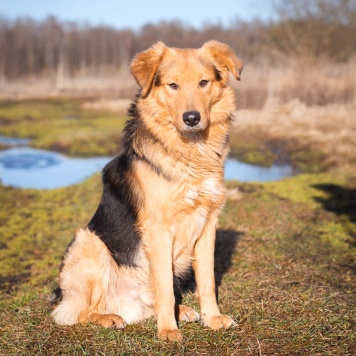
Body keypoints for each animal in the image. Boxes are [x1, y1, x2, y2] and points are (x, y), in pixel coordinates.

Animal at [52, 40, 242, 340]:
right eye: (173, 85)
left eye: (203, 82)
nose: (192, 118)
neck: (190, 154)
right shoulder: (158, 229)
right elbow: (164, 287)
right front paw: (168, 331)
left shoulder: (207, 225)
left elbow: (207, 281)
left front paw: (212, 319)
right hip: (87, 242)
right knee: (77, 312)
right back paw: (108, 317)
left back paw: (180, 311)